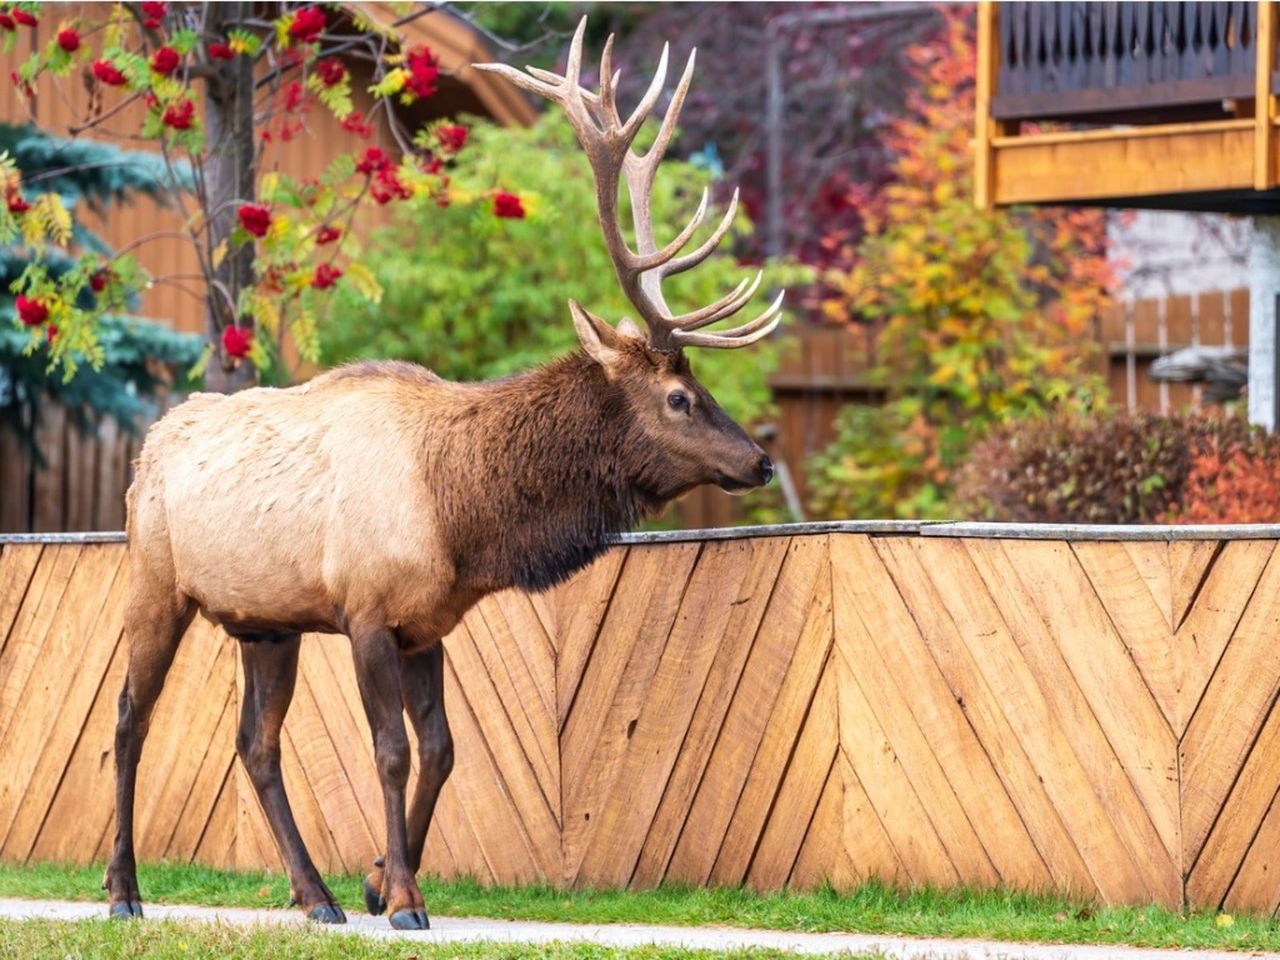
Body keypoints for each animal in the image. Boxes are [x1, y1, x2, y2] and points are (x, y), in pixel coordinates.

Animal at [102, 15, 778, 931]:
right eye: (680, 396)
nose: (760, 458)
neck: (463, 517)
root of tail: (149, 448)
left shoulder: (427, 625)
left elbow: (443, 750)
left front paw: (375, 878)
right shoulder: (367, 611)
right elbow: (391, 750)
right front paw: (404, 900)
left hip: (267, 624)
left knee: (256, 743)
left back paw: (315, 896)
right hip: (155, 581)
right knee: (128, 720)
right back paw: (124, 891)